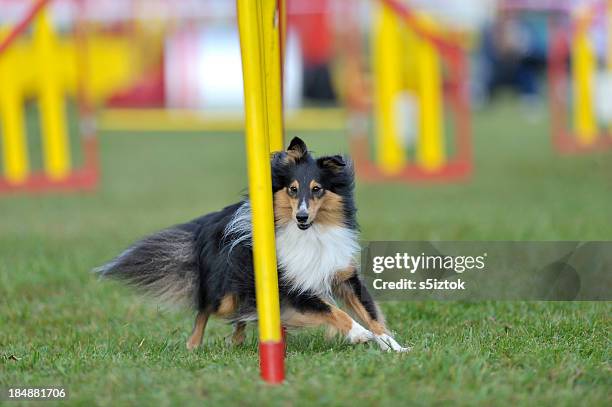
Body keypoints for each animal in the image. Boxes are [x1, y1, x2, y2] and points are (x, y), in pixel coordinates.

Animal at [95, 138, 408, 354]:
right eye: (293, 189)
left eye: (317, 189)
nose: (301, 217)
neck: (312, 233)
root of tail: (209, 220)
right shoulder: (293, 287)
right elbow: (335, 311)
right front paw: (358, 334)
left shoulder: (342, 274)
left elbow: (370, 313)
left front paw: (393, 346)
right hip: (226, 294)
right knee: (206, 309)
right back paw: (193, 345)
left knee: (243, 314)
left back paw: (238, 339)